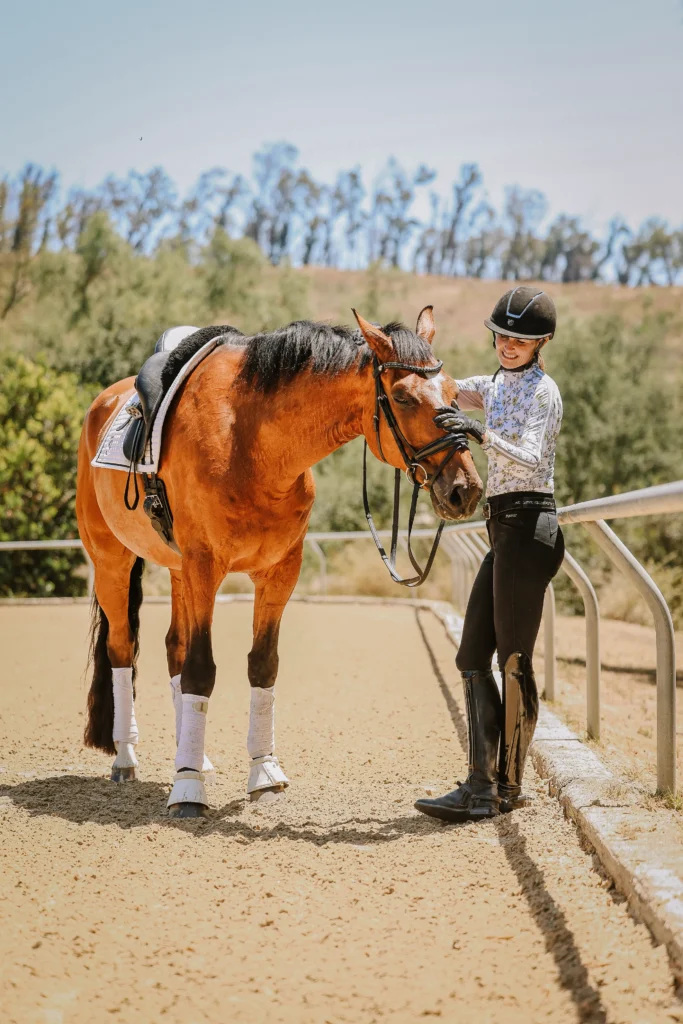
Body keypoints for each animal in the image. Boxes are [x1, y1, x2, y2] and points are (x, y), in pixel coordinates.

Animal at [75, 307, 483, 817]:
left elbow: (261, 664)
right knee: (122, 649)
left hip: (176, 569)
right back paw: (128, 759)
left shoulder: (279, 571)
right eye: (404, 397)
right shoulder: (205, 567)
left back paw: (193, 753)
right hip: (114, 561)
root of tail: (103, 402)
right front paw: (187, 789)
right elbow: (201, 669)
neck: (250, 438)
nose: (465, 489)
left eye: (452, 392)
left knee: (173, 647)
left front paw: (262, 771)